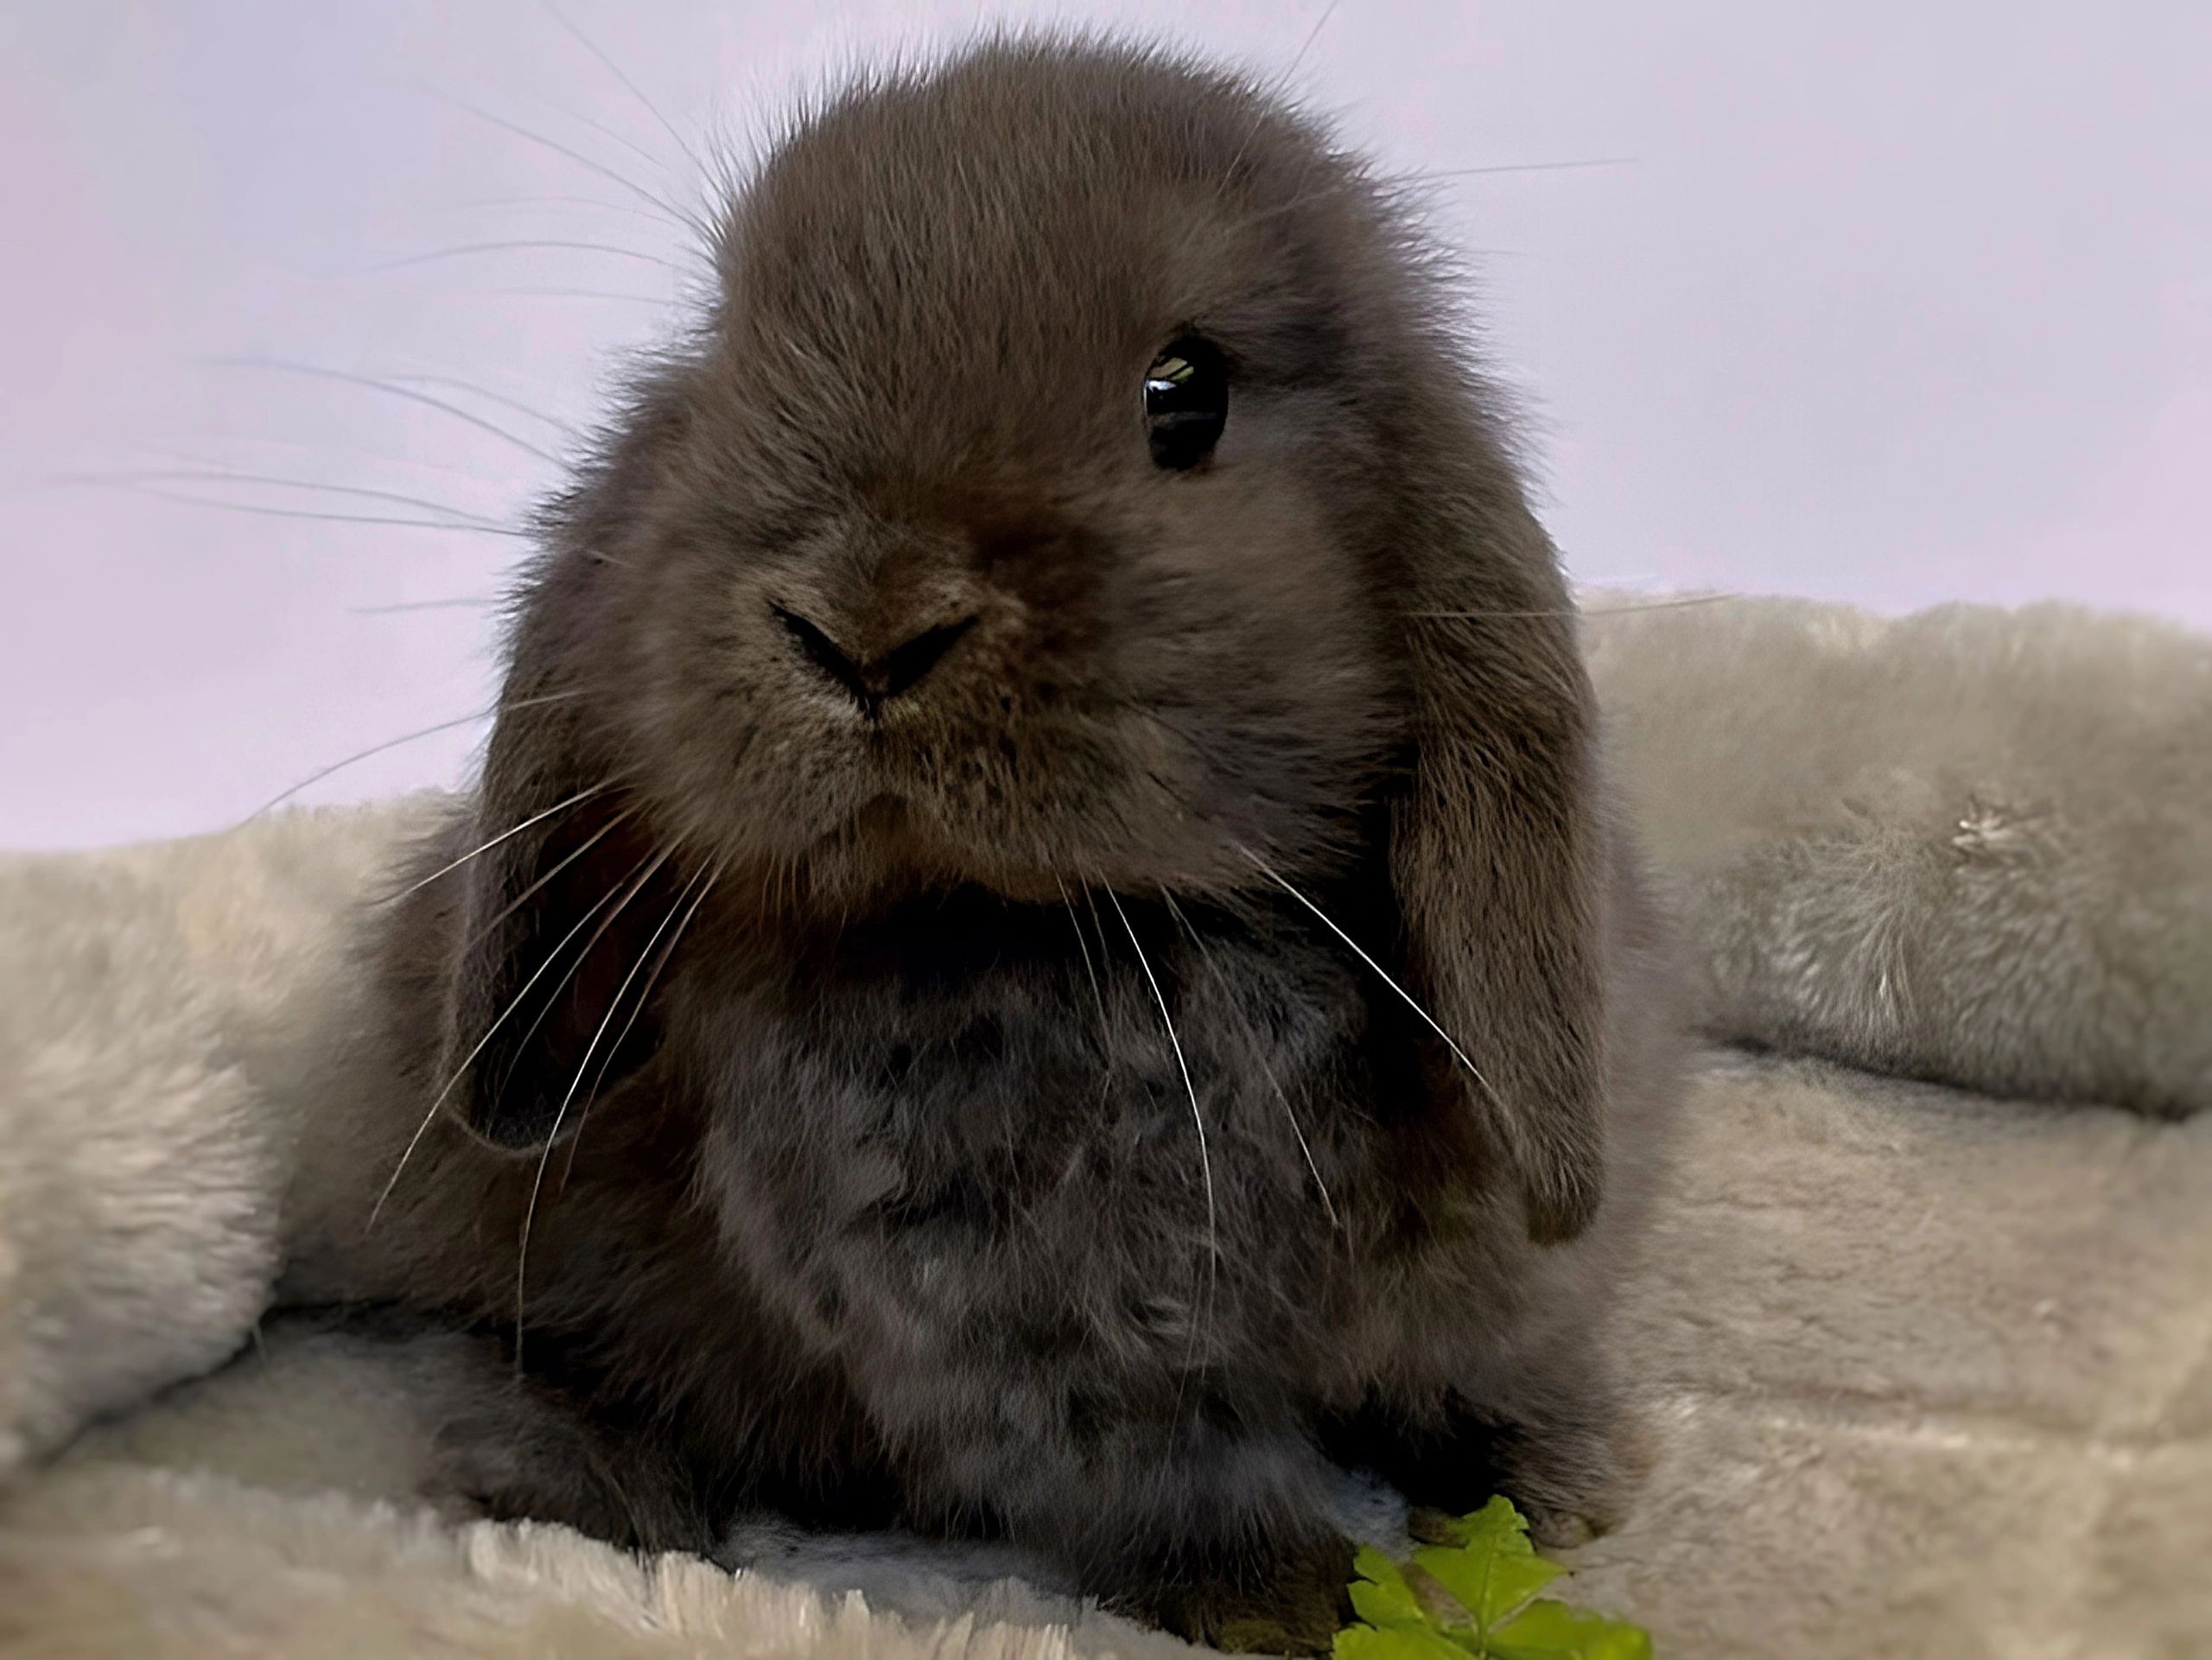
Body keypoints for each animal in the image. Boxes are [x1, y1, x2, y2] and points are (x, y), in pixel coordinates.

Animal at [347, 34, 1682, 1654]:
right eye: (729, 363)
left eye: (1188, 396)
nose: (864, 618)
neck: (1111, 930)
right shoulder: (1038, 1352)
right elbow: (1173, 1478)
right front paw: (1305, 1600)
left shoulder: (1499, 1272)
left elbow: (1494, 1365)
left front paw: (1561, 1487)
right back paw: (603, 1489)